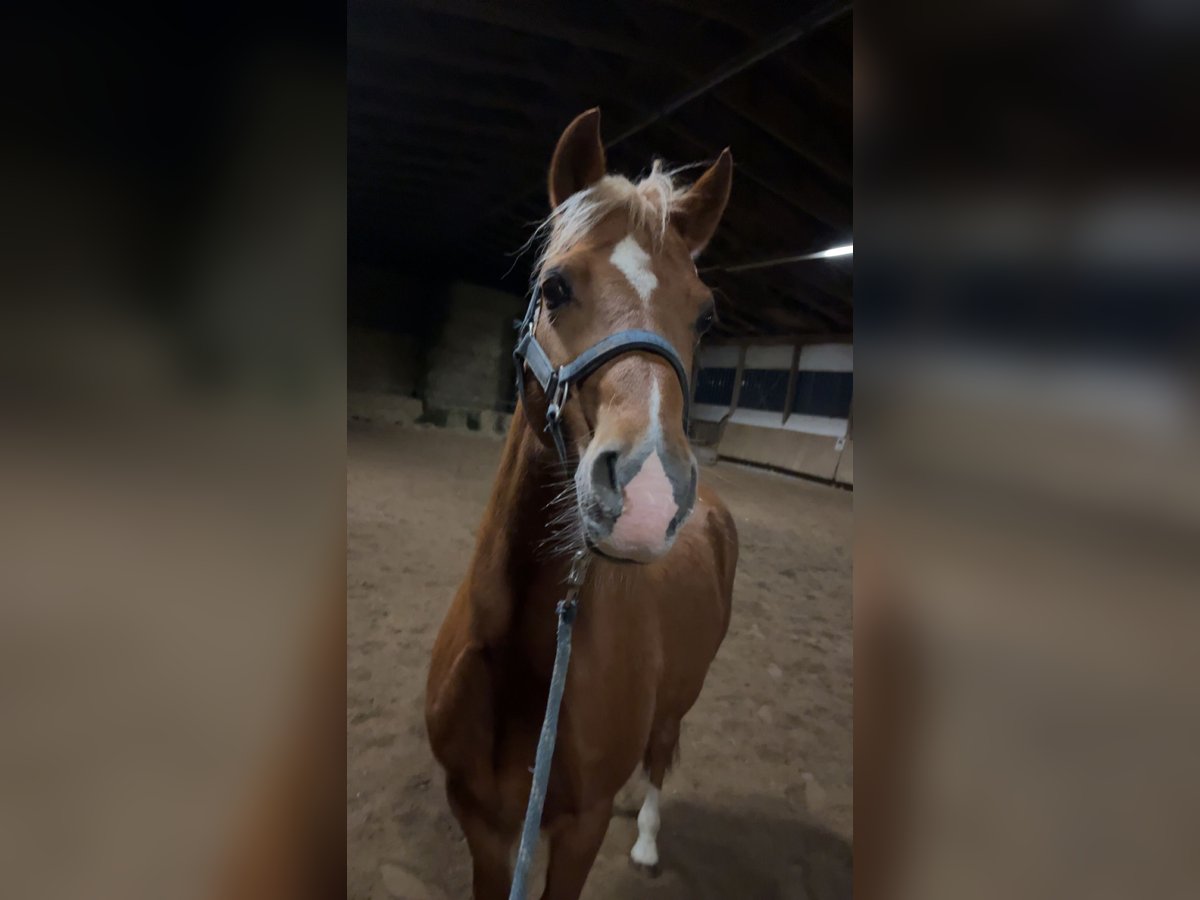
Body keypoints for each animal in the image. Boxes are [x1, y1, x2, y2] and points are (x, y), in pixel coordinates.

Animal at [425, 108, 738, 900]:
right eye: (556, 286)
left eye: (706, 318)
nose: (650, 493)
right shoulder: (480, 823)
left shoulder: (579, 832)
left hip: (685, 691)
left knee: (661, 752)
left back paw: (649, 839)